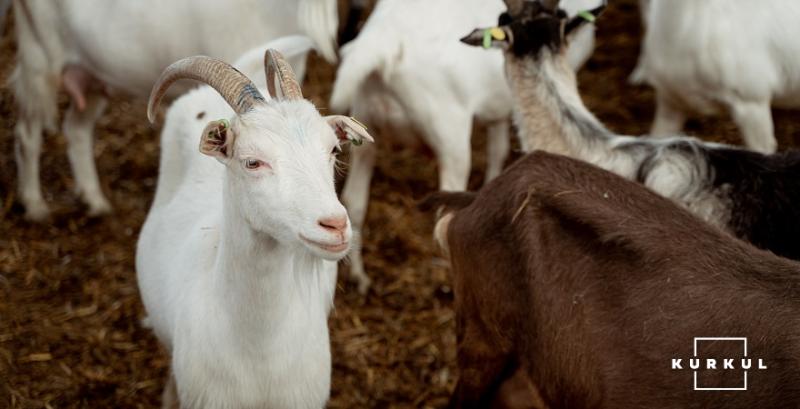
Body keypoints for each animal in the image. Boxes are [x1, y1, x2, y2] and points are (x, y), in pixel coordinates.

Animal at [10, 0, 338, 220]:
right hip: (38, 61)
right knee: (27, 133)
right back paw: (35, 206)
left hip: (92, 78)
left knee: (77, 128)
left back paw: (95, 201)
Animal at [330, 0, 600, 294]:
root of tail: (384, 45)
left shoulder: (498, 110)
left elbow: (498, 148)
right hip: (451, 137)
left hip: (364, 126)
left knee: (355, 201)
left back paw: (359, 277)